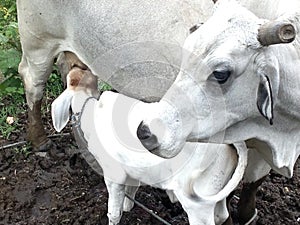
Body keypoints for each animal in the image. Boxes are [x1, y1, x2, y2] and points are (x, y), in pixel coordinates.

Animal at [51, 68, 248, 225]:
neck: (90, 111)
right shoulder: (132, 171)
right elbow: (130, 193)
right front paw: (128, 207)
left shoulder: (114, 175)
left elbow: (113, 213)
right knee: (222, 215)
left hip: (197, 204)